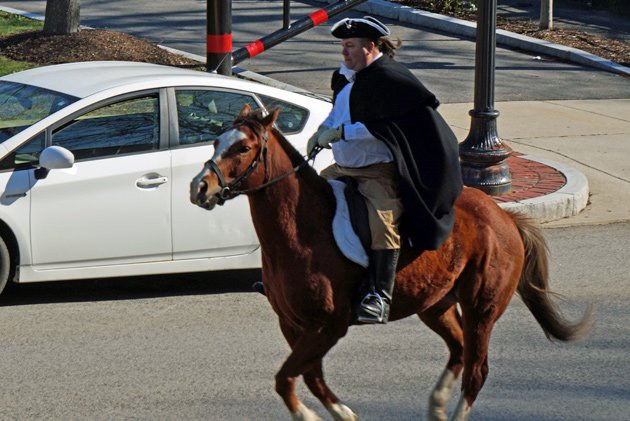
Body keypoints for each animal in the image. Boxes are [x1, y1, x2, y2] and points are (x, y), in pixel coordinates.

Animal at [190, 105, 596, 420]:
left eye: (243, 147)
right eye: (216, 142)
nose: (200, 188)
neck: (302, 227)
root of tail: (505, 217)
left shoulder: (328, 326)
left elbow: (287, 378)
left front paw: (312, 415)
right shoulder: (294, 325)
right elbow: (309, 378)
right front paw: (344, 414)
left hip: (482, 308)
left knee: (476, 370)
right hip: (436, 305)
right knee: (459, 351)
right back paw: (436, 406)